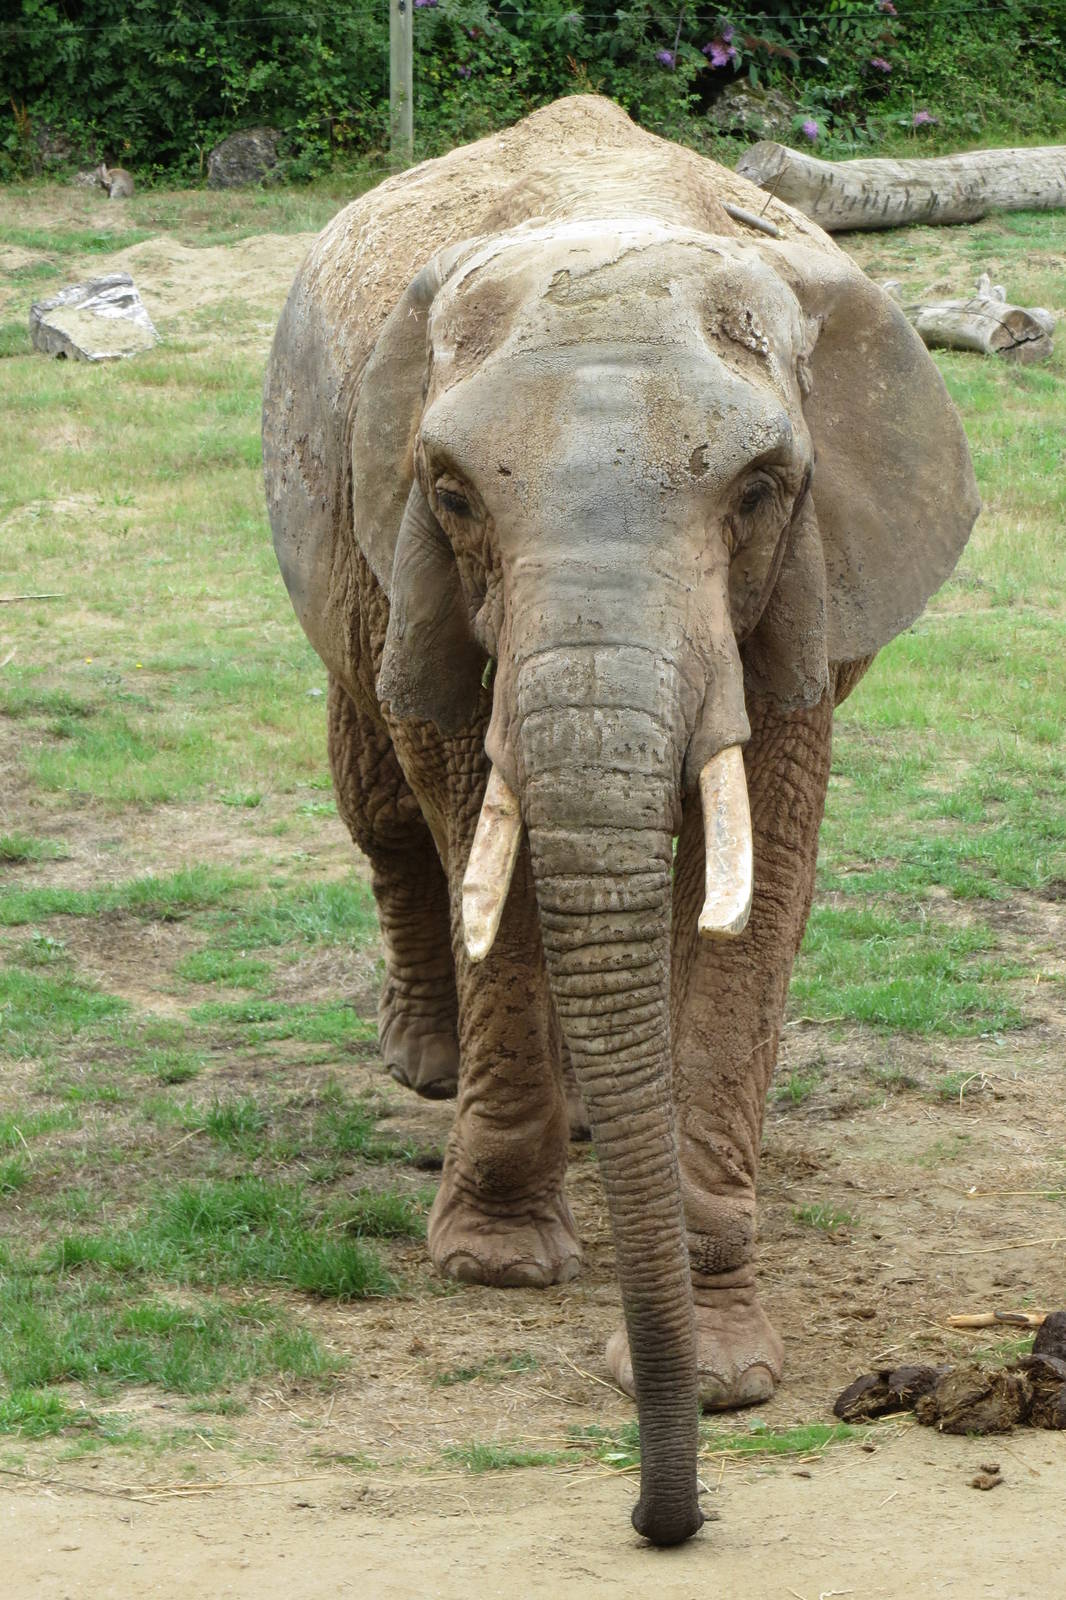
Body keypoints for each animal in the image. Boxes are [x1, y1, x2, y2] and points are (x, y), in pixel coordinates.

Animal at [262, 96, 978, 1546]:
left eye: (758, 489)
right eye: (453, 491)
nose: (663, 1517)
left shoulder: (806, 584)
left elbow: (759, 881)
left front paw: (719, 1370)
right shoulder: (417, 562)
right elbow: (471, 826)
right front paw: (494, 1268)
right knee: (380, 810)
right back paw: (429, 1065)